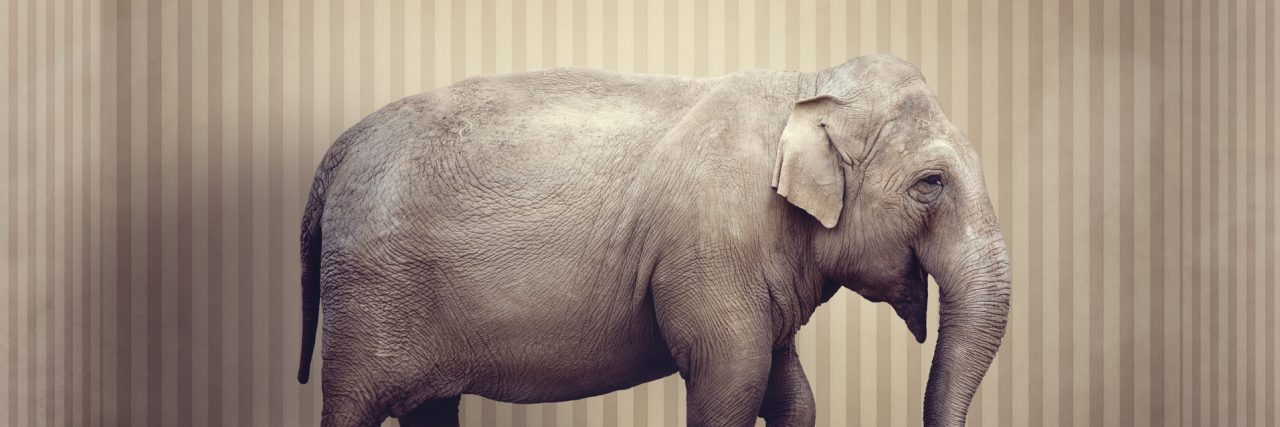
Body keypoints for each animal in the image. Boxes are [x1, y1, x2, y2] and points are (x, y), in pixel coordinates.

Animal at [296, 54, 1011, 427]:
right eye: (931, 184)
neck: (805, 86)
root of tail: (336, 151)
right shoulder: (710, 250)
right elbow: (732, 377)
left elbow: (788, 388)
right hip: (368, 297)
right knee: (353, 405)